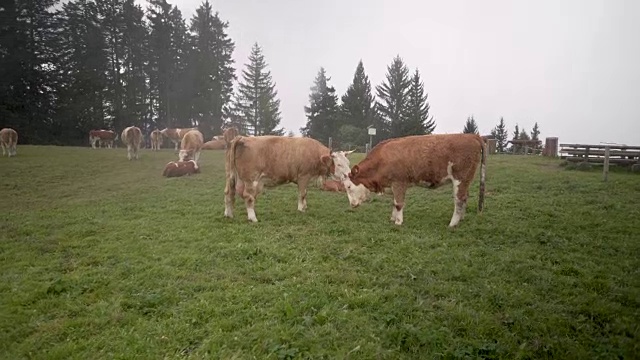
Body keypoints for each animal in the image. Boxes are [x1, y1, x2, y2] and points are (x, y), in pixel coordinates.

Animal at [224, 132, 356, 222]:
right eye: (339, 164)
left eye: (348, 162)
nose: (349, 174)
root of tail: (242, 138)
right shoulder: (303, 176)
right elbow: (302, 194)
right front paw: (301, 209)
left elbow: (305, 193)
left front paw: (304, 206)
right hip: (251, 180)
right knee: (248, 197)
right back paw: (252, 218)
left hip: (231, 176)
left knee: (229, 193)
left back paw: (228, 214)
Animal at [342, 134, 488, 226]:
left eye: (349, 187)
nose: (352, 205)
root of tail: (472, 135)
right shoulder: (392, 185)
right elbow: (394, 203)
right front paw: (393, 218)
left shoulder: (399, 182)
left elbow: (399, 203)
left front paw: (398, 222)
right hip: (465, 180)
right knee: (465, 197)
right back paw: (461, 219)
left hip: (460, 178)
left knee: (459, 199)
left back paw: (452, 223)